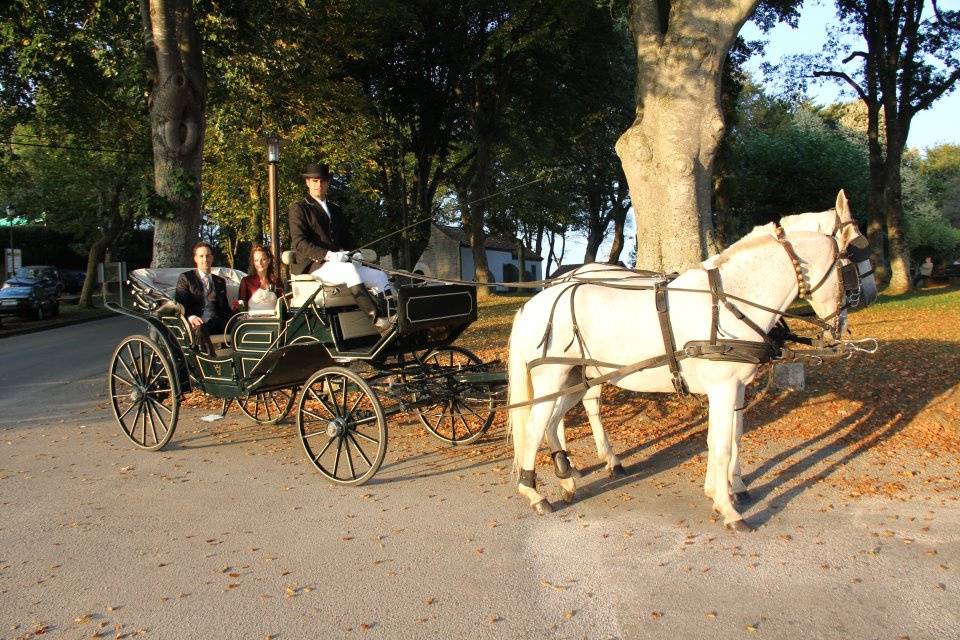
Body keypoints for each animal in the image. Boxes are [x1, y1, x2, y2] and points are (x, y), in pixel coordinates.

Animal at [540, 188, 876, 508]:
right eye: (856, 249)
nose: (871, 294)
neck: (731, 298)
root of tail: (565, 278)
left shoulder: (736, 384)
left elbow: (733, 435)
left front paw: (734, 486)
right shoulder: (723, 382)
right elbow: (722, 438)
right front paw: (725, 492)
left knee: (567, 409)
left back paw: (575, 463)